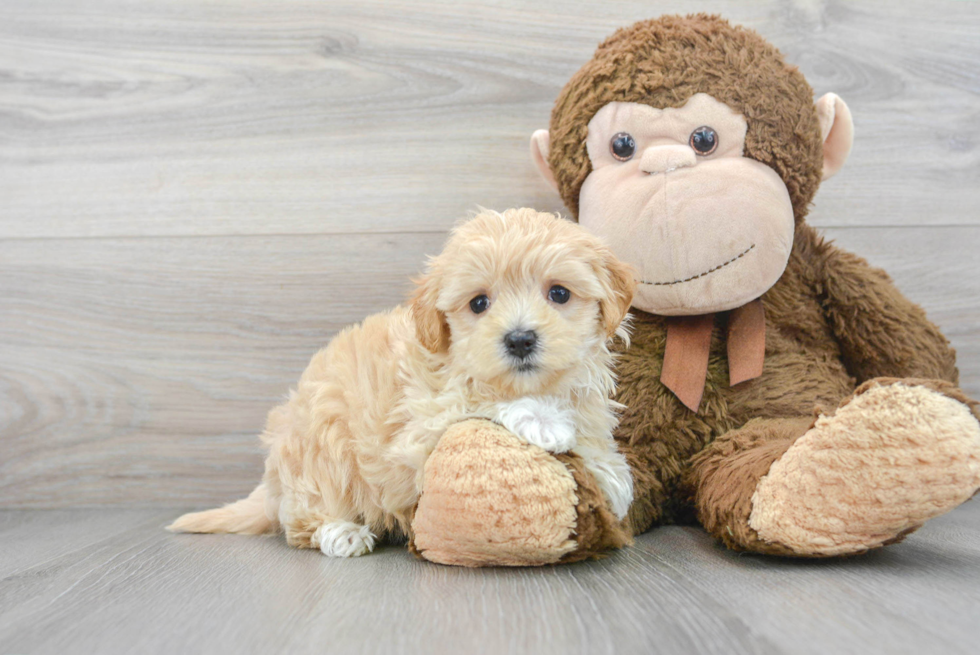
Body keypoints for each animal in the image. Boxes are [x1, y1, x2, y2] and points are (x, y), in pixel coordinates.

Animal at [170, 209, 636, 560]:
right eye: (479, 303)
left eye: (559, 293)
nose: (520, 339)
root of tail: (272, 486)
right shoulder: (419, 425)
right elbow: (474, 401)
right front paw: (543, 420)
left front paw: (609, 473)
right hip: (322, 449)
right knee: (303, 520)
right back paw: (342, 533)